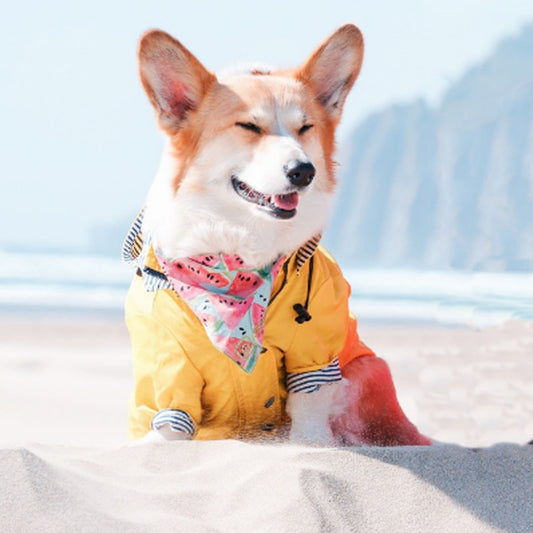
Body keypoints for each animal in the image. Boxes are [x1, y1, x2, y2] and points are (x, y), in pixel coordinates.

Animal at [122, 22, 430, 444]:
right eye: (249, 126)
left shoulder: (314, 356)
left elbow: (310, 422)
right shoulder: (169, 361)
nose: (303, 171)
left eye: (305, 128)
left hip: (367, 370)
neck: (237, 249)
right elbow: (170, 422)